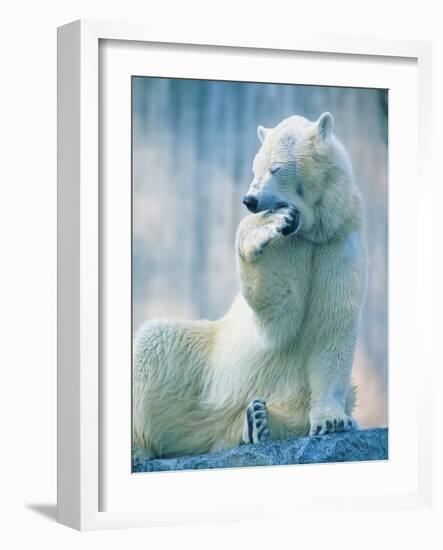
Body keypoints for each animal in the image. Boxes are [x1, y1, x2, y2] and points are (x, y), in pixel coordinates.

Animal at [134, 112, 370, 462]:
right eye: (254, 168)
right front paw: (265, 226)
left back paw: (257, 422)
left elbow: (333, 326)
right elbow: (279, 311)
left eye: (276, 167)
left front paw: (332, 421)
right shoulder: (292, 245)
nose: (250, 200)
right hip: (204, 362)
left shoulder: (339, 242)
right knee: (153, 342)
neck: (313, 231)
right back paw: (140, 445)